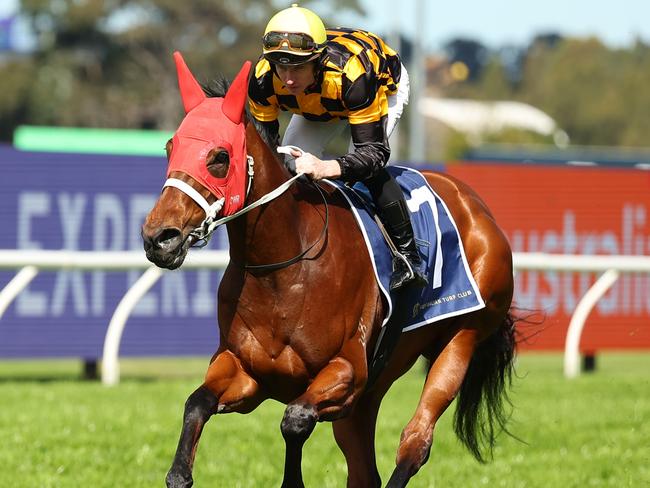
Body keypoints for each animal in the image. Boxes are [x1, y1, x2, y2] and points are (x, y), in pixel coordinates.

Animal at [143, 51, 516, 486]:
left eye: (220, 157)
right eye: (170, 148)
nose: (158, 238)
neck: (283, 270)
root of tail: (477, 206)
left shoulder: (347, 371)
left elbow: (294, 419)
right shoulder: (246, 372)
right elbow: (196, 403)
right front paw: (179, 473)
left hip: (461, 339)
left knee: (415, 442)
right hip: (376, 383)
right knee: (364, 468)